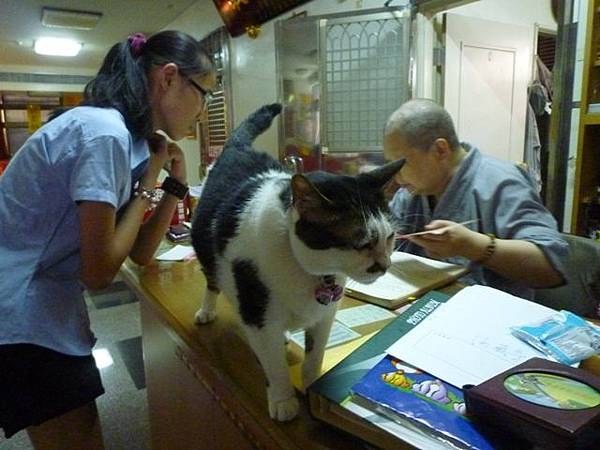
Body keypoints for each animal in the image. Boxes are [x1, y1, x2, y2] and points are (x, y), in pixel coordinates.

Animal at [192, 103, 404, 422]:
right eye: (361, 243)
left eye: (390, 237)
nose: (385, 265)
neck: (310, 271)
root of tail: (236, 147)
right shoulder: (257, 311)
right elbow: (275, 367)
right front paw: (283, 400)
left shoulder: (325, 314)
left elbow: (314, 355)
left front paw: (312, 384)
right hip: (208, 253)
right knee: (212, 281)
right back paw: (207, 310)